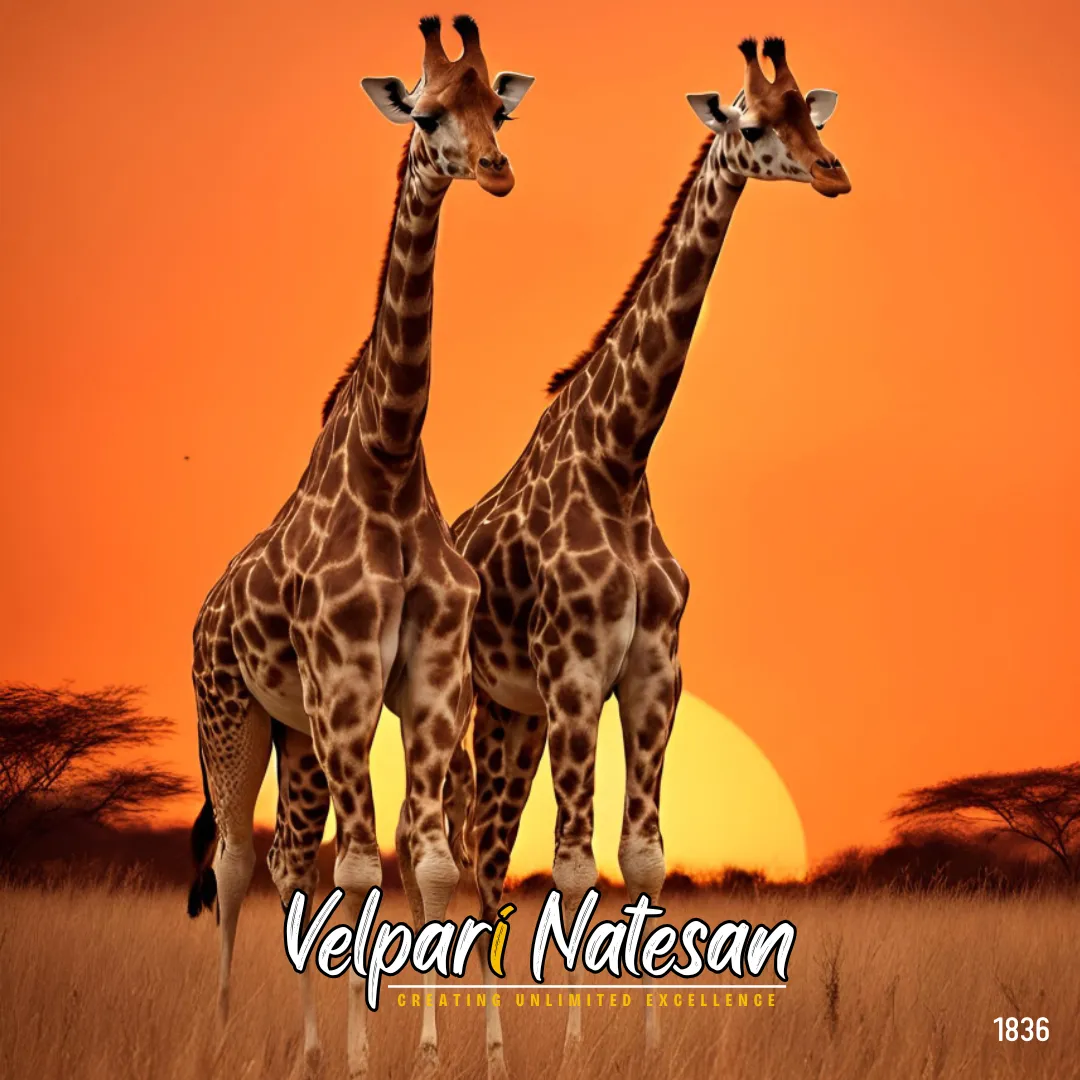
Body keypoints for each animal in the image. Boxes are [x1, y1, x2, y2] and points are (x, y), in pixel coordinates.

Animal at [185, 15, 533, 1079]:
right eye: (425, 113)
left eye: (496, 108)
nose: (495, 169)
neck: (388, 458)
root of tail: (202, 612)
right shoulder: (344, 680)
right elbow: (358, 869)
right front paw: (362, 1054)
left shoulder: (429, 680)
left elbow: (425, 863)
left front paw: (421, 1050)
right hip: (230, 712)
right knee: (237, 861)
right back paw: (223, 1032)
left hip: (293, 729)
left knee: (290, 863)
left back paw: (296, 1044)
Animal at [449, 37, 850, 1077]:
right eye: (751, 122)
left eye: (813, 113)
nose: (833, 174)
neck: (621, 457)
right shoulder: (576, 675)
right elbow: (574, 862)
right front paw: (576, 1052)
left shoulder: (656, 672)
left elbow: (642, 857)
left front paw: (654, 1046)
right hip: (476, 702)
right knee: (467, 844)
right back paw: (484, 1045)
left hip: (513, 716)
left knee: (486, 843)